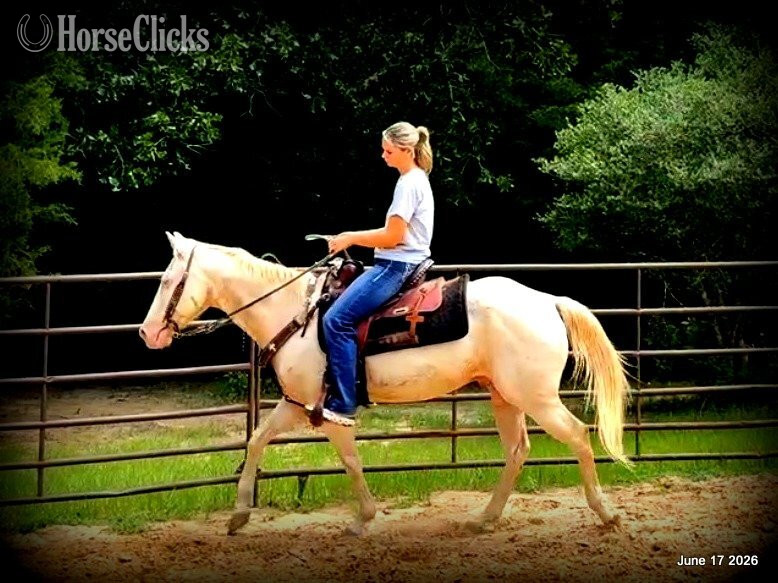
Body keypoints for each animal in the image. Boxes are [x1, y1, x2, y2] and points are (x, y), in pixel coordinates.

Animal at [139, 231, 631, 536]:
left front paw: (363, 519)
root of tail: (548, 301)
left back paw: (605, 513)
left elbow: (351, 460)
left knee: (578, 435)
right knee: (517, 451)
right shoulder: (296, 403)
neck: (296, 313)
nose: (147, 333)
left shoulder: (331, 411)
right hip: (504, 395)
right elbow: (257, 440)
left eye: (167, 280)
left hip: (537, 397)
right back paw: (483, 519)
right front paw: (239, 514)